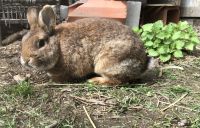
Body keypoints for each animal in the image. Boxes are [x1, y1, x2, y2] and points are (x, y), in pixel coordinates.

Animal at [20, 4, 148, 85]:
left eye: (41, 43)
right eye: (23, 40)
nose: (25, 60)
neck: (58, 46)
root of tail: (143, 64)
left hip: (107, 61)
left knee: (118, 81)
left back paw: (95, 81)